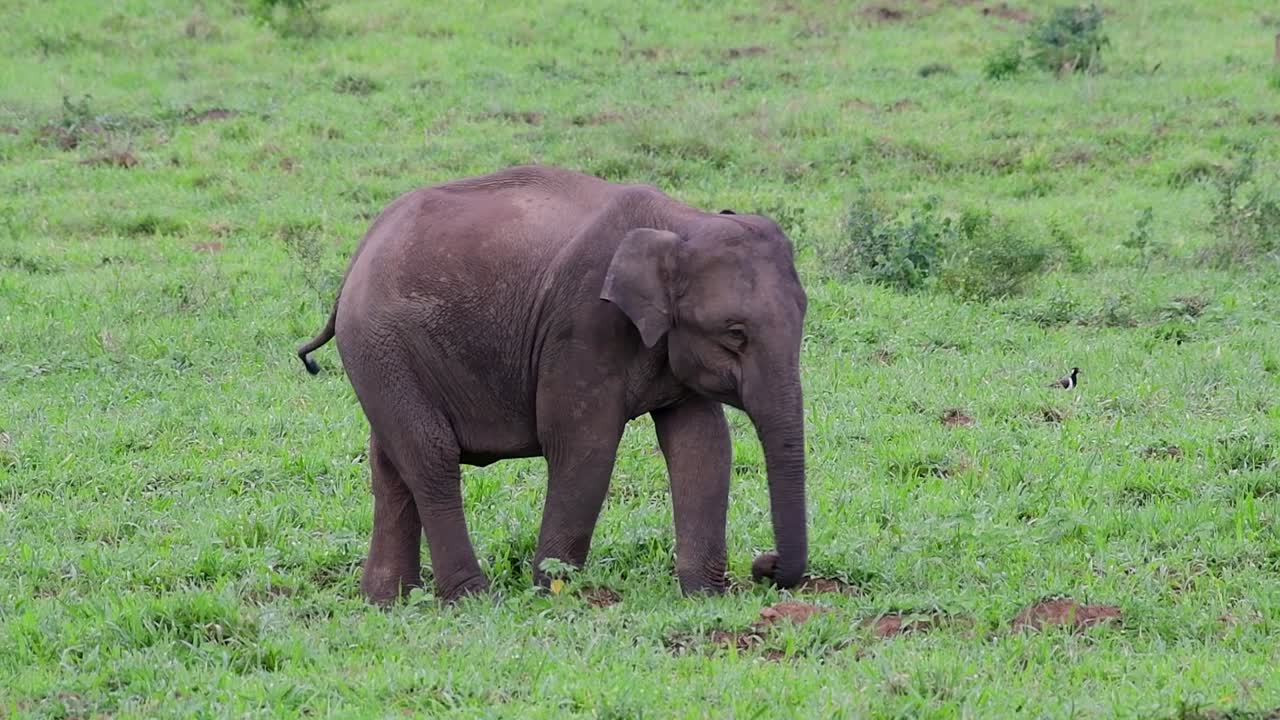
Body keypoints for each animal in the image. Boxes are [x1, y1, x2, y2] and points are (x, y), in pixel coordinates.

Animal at [296, 164, 808, 604]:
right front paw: (554, 593)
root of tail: (358, 254)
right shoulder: (583, 324)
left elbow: (703, 446)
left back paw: (386, 600)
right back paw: (472, 598)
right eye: (735, 334)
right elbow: (583, 444)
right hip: (382, 343)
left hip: (383, 356)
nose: (763, 566)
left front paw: (705, 597)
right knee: (431, 455)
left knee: (390, 464)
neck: (682, 223)